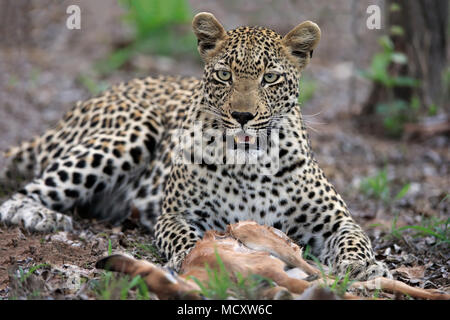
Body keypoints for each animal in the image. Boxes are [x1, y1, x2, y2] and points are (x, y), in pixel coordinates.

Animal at [0, 13, 390, 280]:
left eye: (270, 77)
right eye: (224, 75)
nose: (243, 115)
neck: (252, 165)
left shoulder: (337, 220)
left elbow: (356, 239)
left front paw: (363, 268)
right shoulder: (175, 215)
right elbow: (187, 238)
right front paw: (196, 258)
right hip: (135, 127)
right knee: (18, 196)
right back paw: (40, 214)